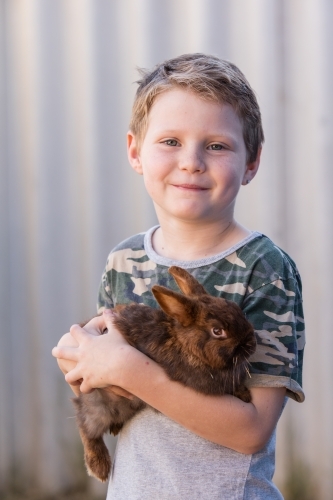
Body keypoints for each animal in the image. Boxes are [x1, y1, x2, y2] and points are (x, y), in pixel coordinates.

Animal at [72, 268, 254, 482]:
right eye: (218, 331)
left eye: (236, 309)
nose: (252, 343)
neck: (182, 341)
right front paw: (245, 395)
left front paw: (245, 394)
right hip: (96, 407)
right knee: (86, 429)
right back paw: (99, 467)